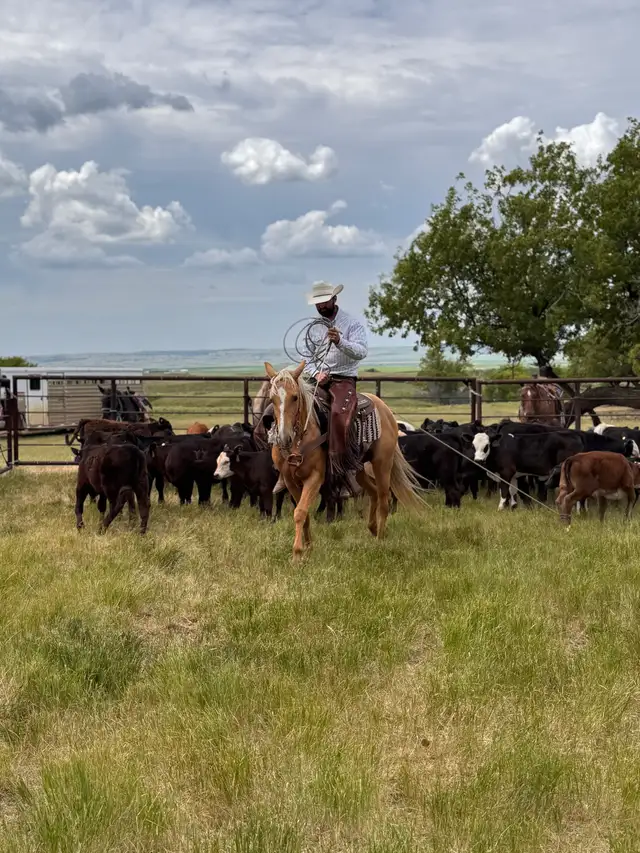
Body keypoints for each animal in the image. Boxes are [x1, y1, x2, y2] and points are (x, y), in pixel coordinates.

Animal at [264, 360, 424, 558]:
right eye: (272, 399)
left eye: (294, 397)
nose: (283, 437)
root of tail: (385, 409)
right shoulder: (290, 480)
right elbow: (303, 512)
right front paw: (308, 547)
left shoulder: (315, 477)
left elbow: (300, 512)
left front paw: (298, 553)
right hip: (358, 467)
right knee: (373, 492)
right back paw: (372, 528)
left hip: (382, 463)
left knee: (383, 499)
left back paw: (380, 538)